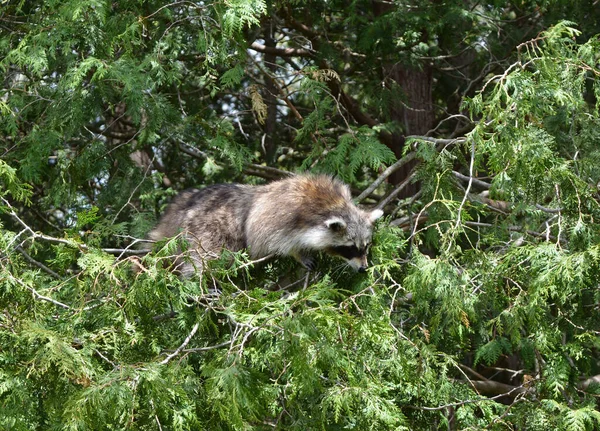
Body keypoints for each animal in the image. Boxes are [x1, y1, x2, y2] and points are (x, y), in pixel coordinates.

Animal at [149, 174, 384, 276]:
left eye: (365, 246)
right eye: (350, 248)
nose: (363, 268)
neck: (333, 204)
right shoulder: (281, 217)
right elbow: (276, 240)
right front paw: (299, 253)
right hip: (208, 226)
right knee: (206, 254)